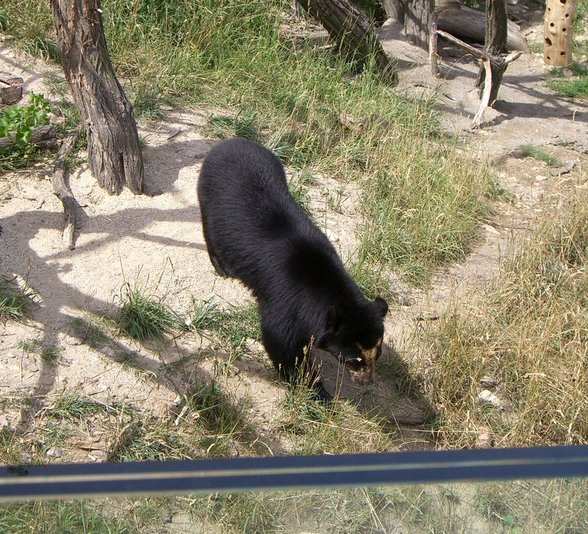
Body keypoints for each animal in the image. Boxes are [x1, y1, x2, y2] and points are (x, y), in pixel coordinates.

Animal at [200, 138, 388, 398]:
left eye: (377, 354)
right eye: (353, 359)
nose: (366, 381)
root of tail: (229, 142)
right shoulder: (285, 299)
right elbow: (282, 343)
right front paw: (316, 390)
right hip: (208, 197)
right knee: (209, 228)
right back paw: (222, 266)